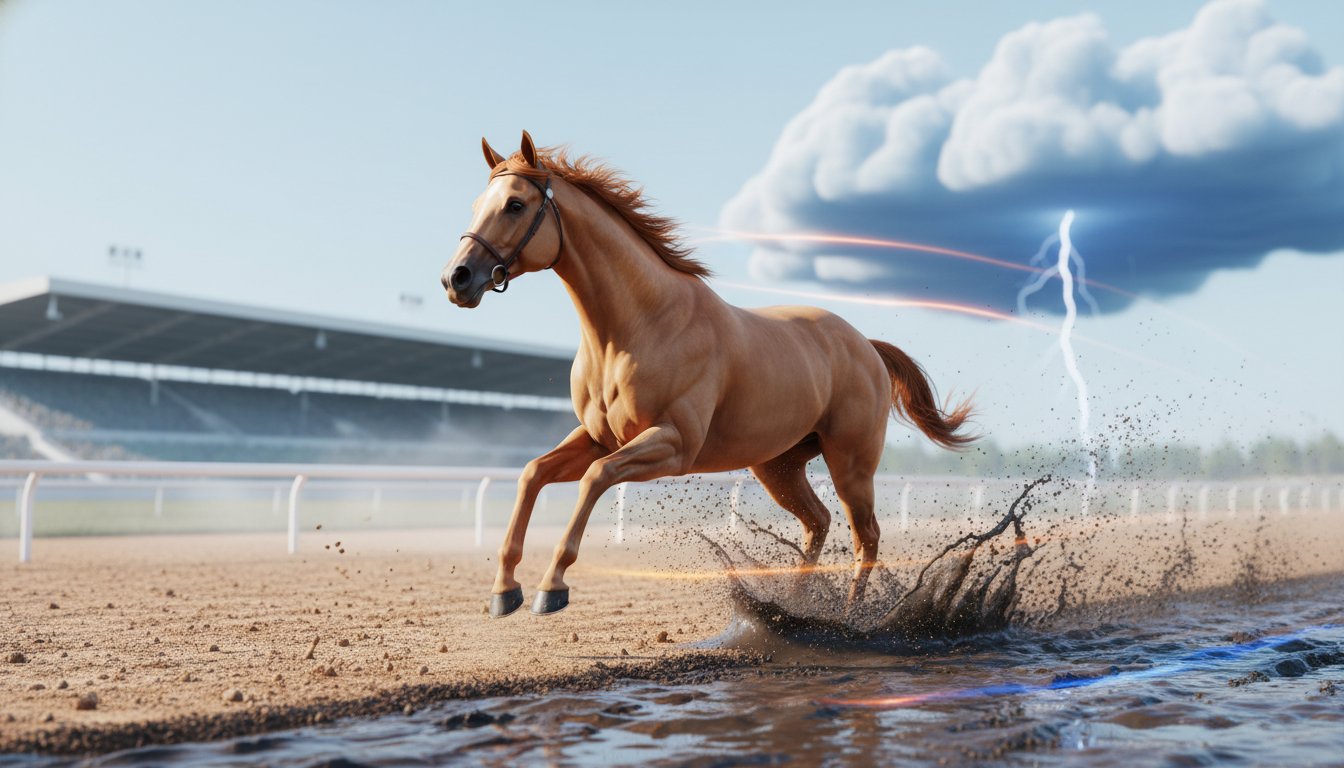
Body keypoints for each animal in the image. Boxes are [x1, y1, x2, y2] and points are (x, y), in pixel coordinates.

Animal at [441, 131, 974, 617]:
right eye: (477, 204)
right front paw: (504, 591)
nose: (456, 278)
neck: (638, 327)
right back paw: (799, 608)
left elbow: (594, 478)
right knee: (819, 522)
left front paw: (552, 587)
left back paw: (848, 620)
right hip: (778, 467)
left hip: (850, 465)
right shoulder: (597, 437)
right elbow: (532, 474)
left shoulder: (672, 445)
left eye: (514, 204)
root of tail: (866, 346)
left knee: (867, 537)